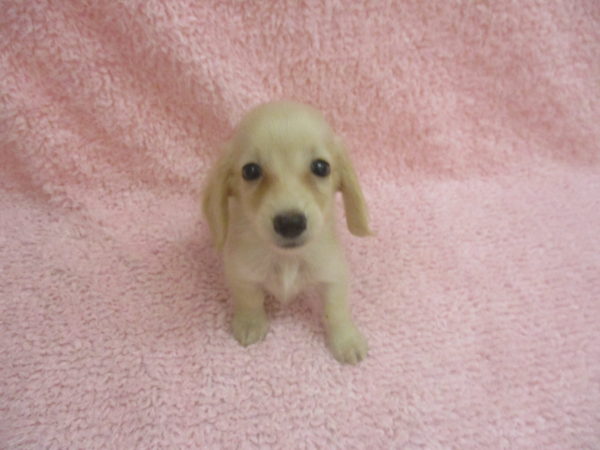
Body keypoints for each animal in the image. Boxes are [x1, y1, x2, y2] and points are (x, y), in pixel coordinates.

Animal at [202, 101, 371, 364]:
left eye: (321, 167)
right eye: (250, 171)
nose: (290, 223)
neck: (287, 258)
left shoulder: (334, 274)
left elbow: (336, 310)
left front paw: (346, 340)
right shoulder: (240, 272)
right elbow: (249, 300)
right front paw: (251, 324)